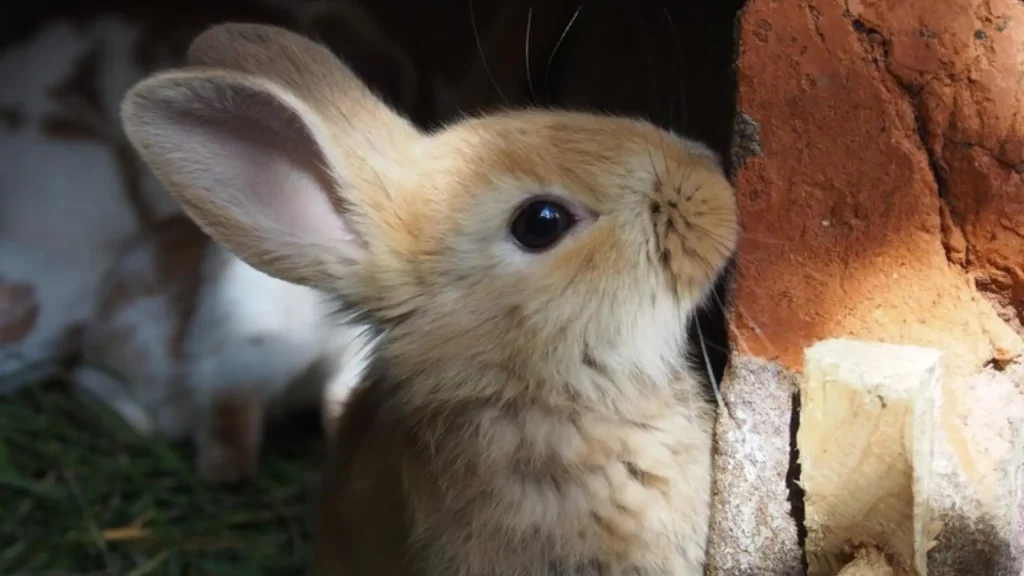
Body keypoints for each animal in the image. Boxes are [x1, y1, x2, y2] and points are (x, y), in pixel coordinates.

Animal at [73, 214, 377, 483]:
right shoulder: (238, 361)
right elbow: (230, 425)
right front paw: (225, 476)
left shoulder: (349, 360)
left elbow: (340, 401)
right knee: (91, 384)